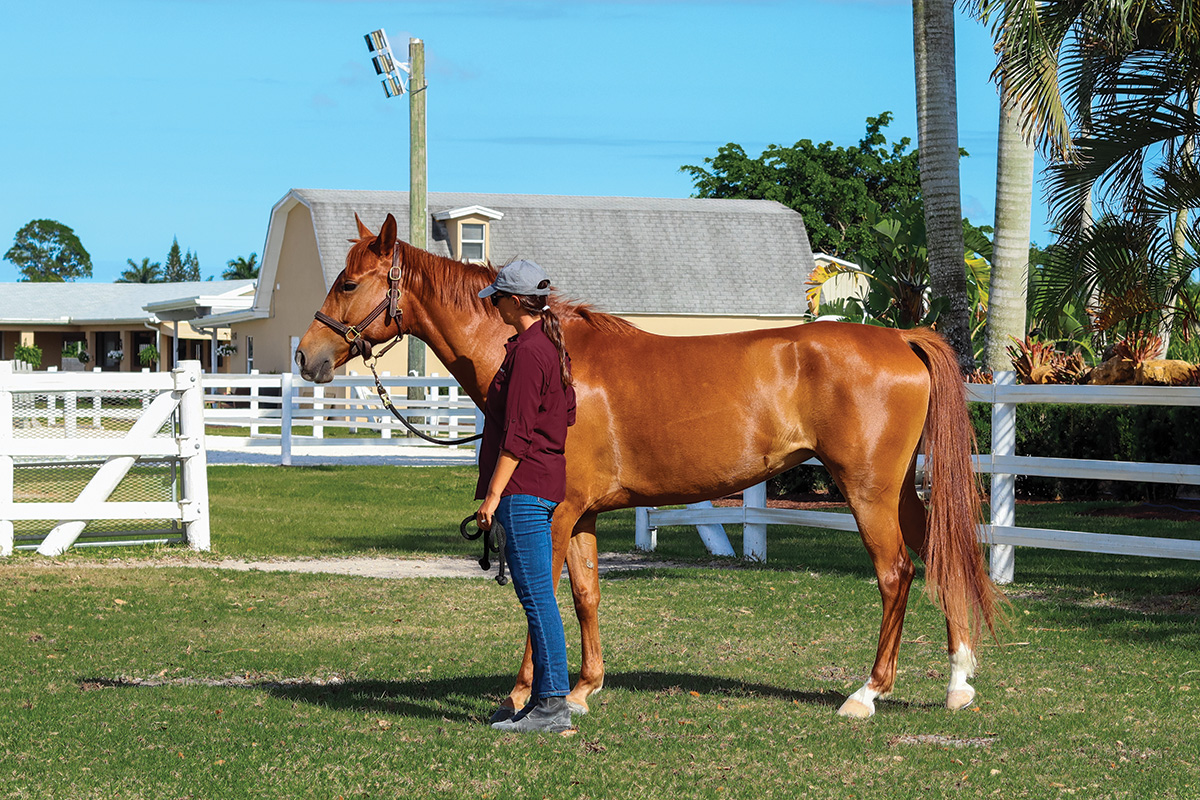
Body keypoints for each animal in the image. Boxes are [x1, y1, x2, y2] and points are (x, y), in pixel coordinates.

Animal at [295, 212, 998, 719]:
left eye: (349, 283)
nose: (306, 356)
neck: (549, 357)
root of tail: (900, 336)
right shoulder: (580, 515)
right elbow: (584, 595)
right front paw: (584, 688)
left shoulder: (548, 514)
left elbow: (538, 596)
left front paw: (523, 697)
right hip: (898, 488)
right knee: (940, 552)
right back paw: (959, 681)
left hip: (868, 490)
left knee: (896, 573)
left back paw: (867, 693)